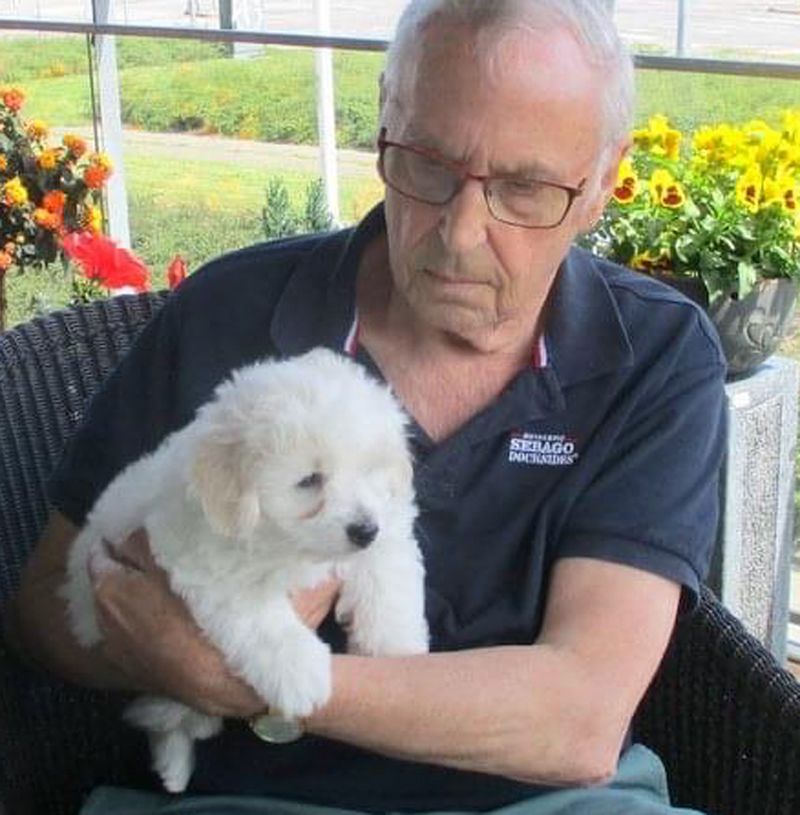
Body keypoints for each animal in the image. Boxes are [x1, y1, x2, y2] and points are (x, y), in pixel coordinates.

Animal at [60, 350, 428, 792]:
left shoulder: (389, 522)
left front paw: (396, 647)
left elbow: (388, 576)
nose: (364, 530)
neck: (288, 545)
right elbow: (263, 623)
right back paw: (174, 760)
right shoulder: (209, 567)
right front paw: (299, 671)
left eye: (370, 469)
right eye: (309, 480)